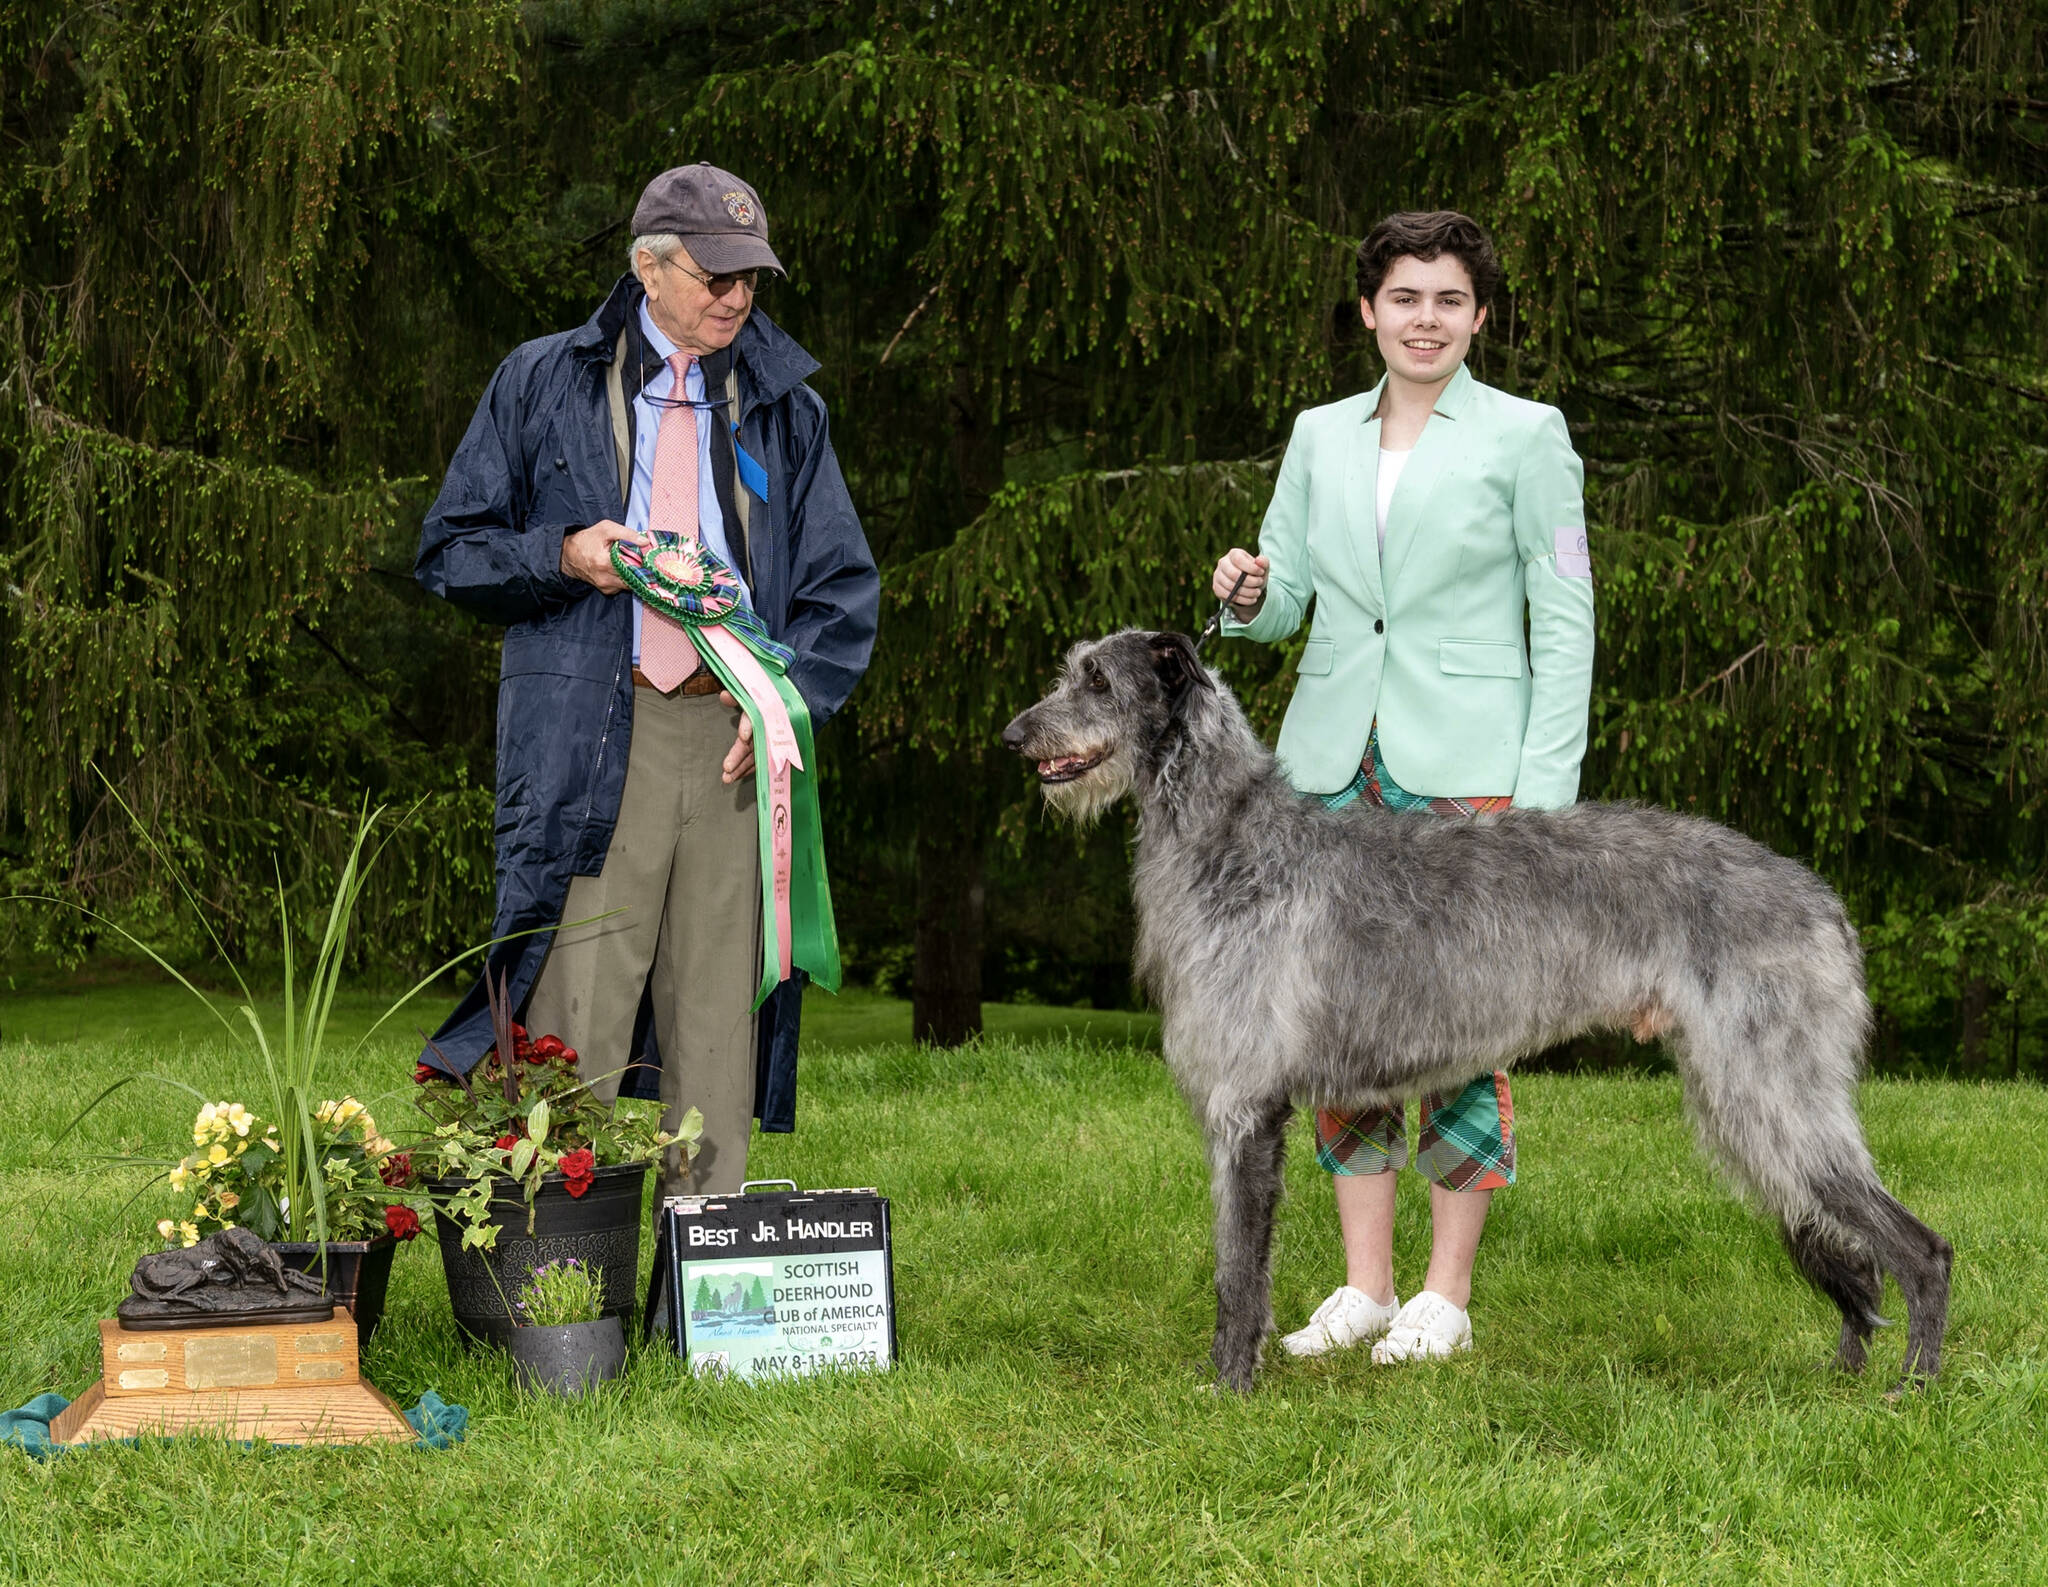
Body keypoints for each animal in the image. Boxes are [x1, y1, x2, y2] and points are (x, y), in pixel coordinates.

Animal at [1003, 630, 1949, 1392]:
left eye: (1097, 680)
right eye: (1070, 670)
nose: (1014, 734)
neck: (1230, 837)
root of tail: (1826, 903)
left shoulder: (1246, 1108)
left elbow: (1239, 1268)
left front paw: (1229, 1384)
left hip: (1770, 1089)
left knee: (1920, 1248)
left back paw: (1914, 1384)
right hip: (1750, 1098)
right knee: (1853, 1252)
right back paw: (1847, 1370)